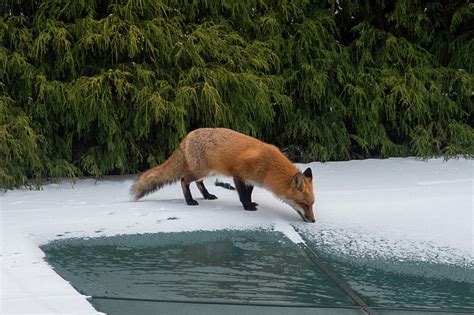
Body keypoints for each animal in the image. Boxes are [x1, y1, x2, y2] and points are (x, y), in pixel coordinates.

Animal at [131, 128, 314, 222]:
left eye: (312, 204)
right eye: (304, 204)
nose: (312, 220)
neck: (268, 167)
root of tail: (188, 135)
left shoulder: (251, 180)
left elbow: (248, 193)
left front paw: (251, 203)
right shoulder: (238, 176)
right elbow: (242, 195)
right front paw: (247, 207)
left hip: (208, 172)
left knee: (198, 183)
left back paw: (207, 195)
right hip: (200, 171)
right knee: (184, 181)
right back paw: (190, 200)